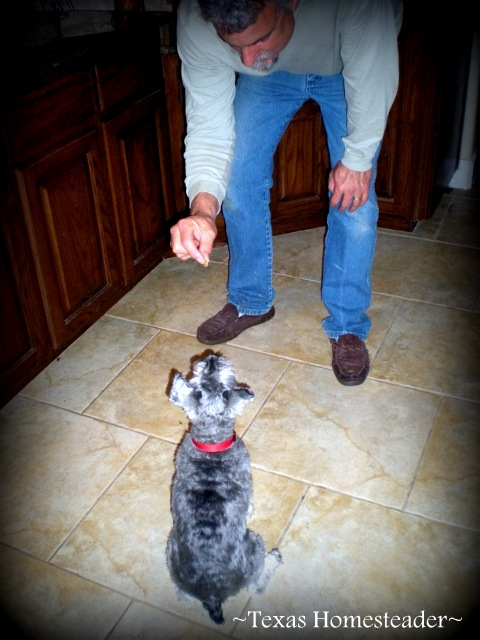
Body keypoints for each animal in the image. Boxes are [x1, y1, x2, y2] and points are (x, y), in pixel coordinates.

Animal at [166, 352, 282, 624]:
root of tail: (212, 596)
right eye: (224, 388)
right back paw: (274, 559)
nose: (210, 359)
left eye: (201, 384)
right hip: (254, 547)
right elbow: (249, 505)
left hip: (170, 549)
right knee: (257, 586)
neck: (211, 444)